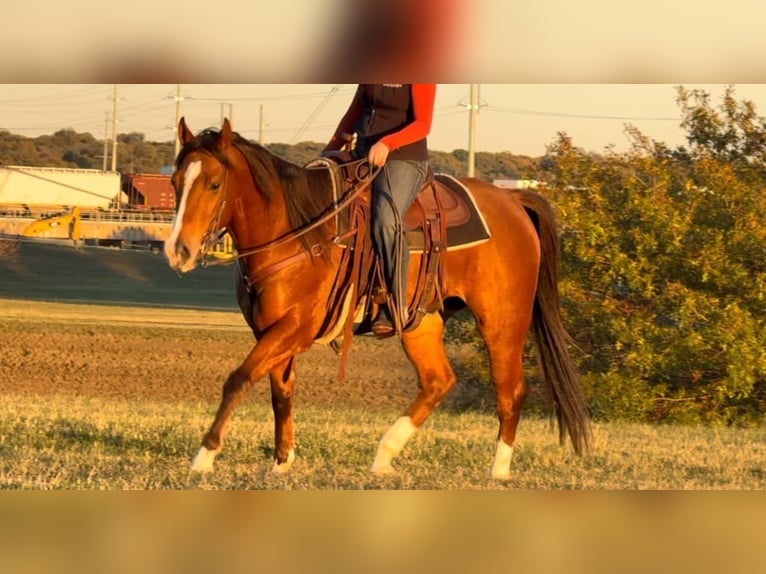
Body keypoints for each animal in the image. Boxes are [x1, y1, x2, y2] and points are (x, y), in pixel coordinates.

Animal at [165, 118, 592, 482]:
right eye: (174, 182)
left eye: (214, 184)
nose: (178, 250)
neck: (297, 231)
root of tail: (512, 200)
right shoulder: (269, 331)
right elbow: (280, 392)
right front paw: (282, 461)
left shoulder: (295, 329)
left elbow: (238, 379)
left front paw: (205, 455)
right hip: (420, 322)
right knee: (438, 381)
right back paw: (385, 454)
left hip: (502, 322)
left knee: (510, 390)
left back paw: (498, 470)